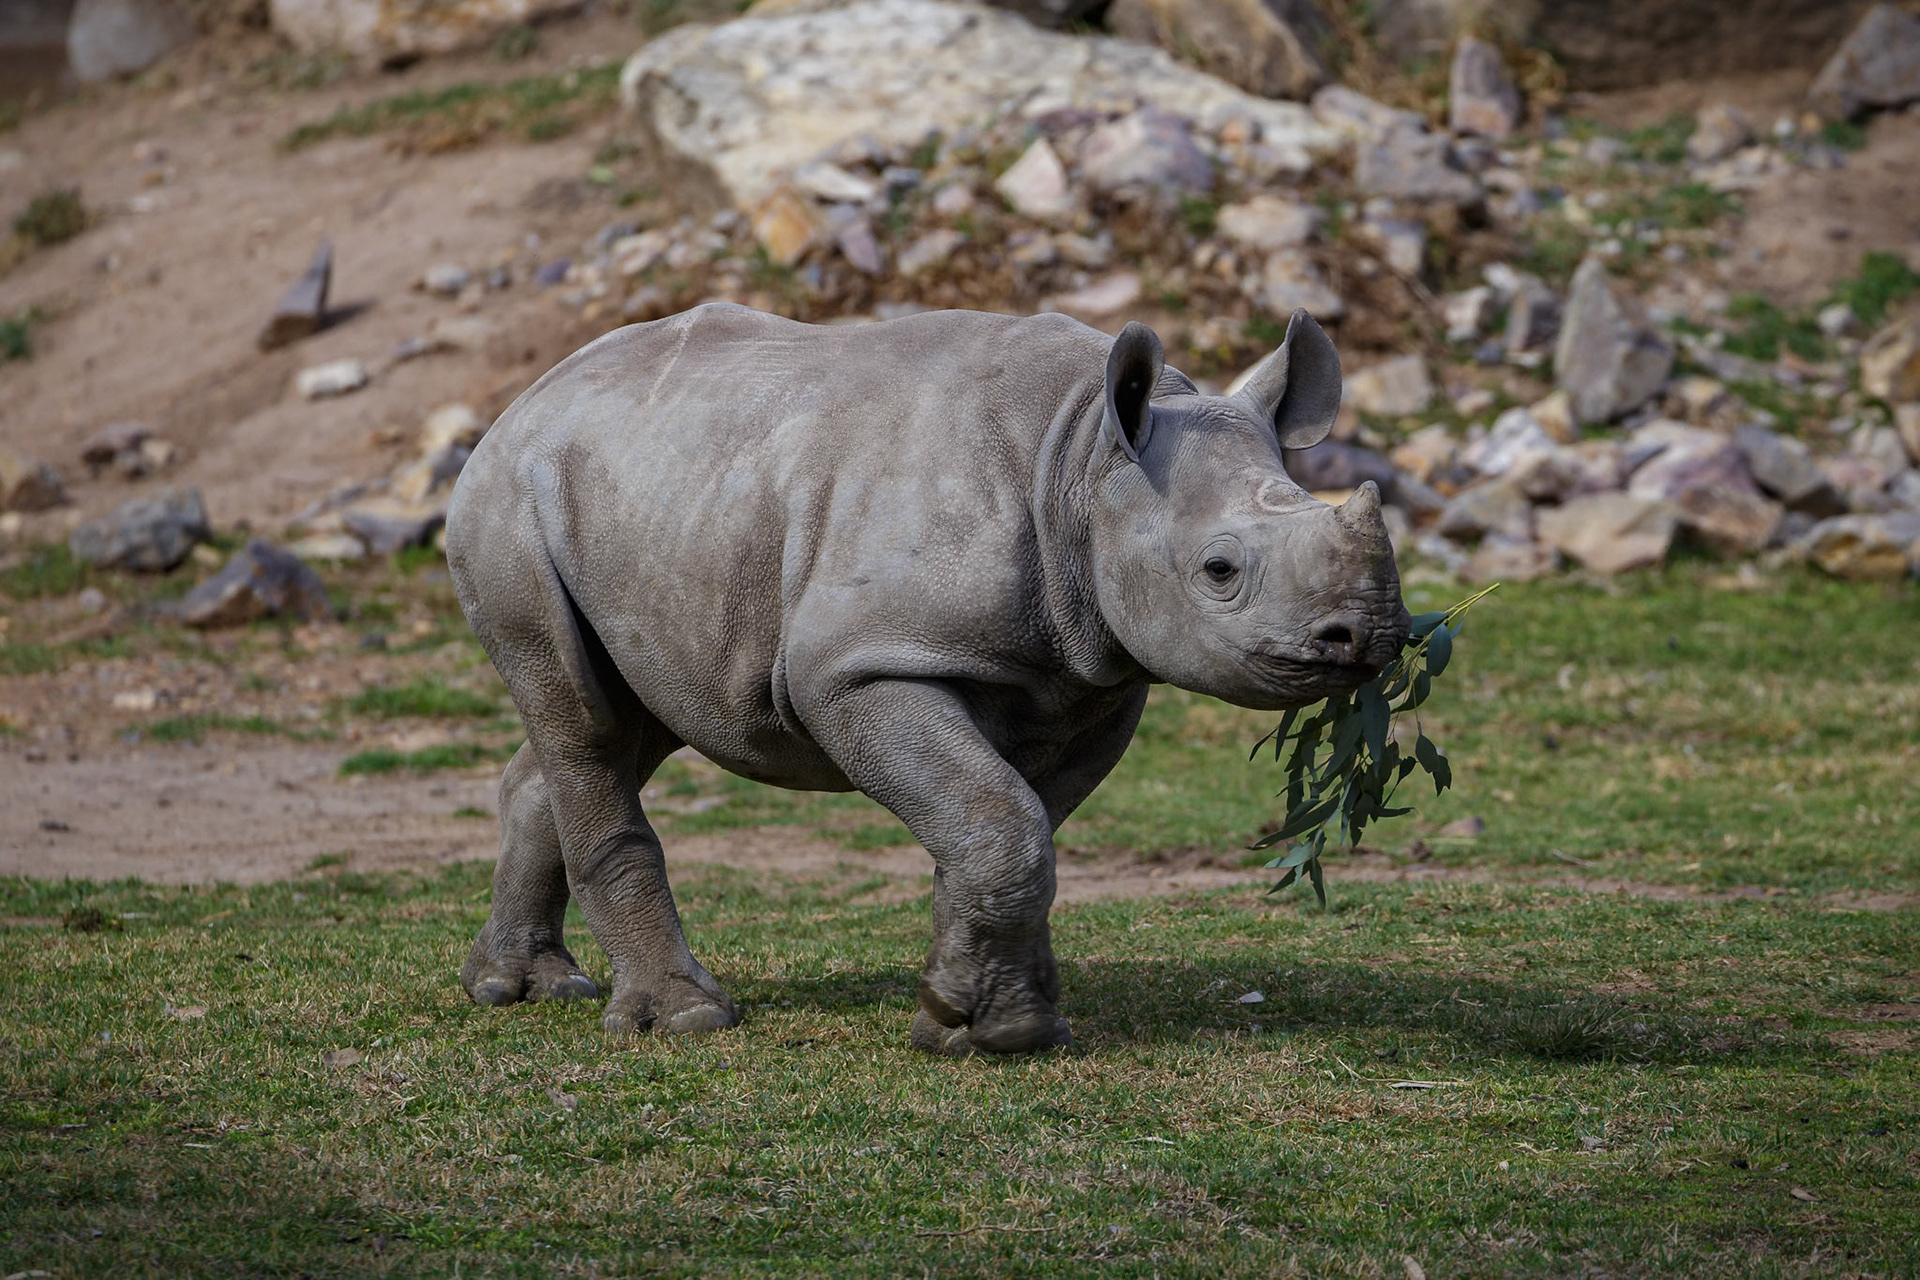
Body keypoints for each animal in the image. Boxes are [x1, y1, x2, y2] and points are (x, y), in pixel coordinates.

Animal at [446, 302, 1408, 1055]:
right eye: (1220, 570)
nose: (1369, 638)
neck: (1081, 464)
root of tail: (522, 402)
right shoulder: (858, 666)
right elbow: (1002, 821)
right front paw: (1001, 1031)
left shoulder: (1095, 679)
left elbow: (1003, 823)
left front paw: (975, 1016)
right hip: (512, 501)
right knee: (585, 721)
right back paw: (684, 1020)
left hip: (667, 510)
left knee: (631, 715)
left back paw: (520, 988)